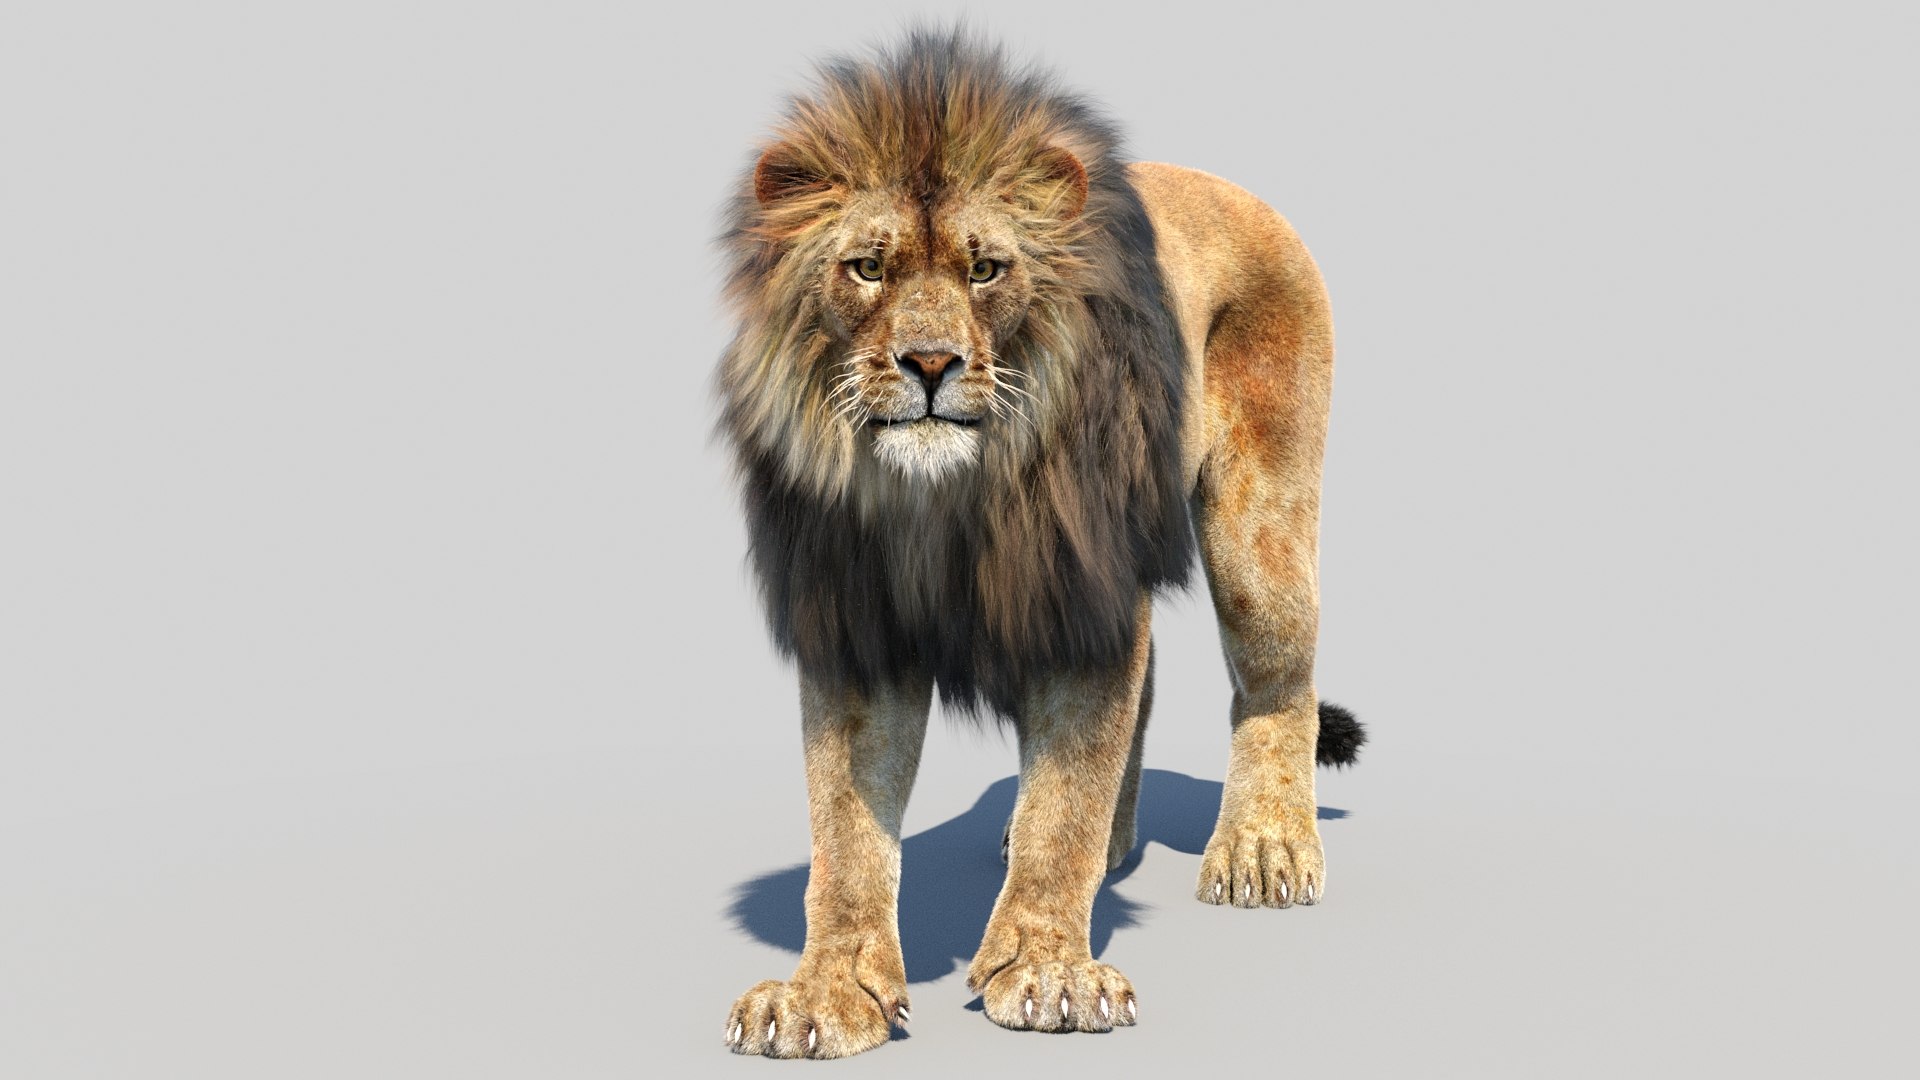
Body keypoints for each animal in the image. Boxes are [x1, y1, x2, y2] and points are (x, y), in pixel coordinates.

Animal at [714, 29, 1365, 1059]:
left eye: (986, 270)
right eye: (867, 268)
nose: (929, 363)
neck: (944, 497)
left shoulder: (1079, 592)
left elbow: (1066, 797)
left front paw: (1050, 972)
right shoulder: (857, 620)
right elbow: (845, 835)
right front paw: (825, 992)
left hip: (1257, 537)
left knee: (1276, 680)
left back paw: (1265, 847)